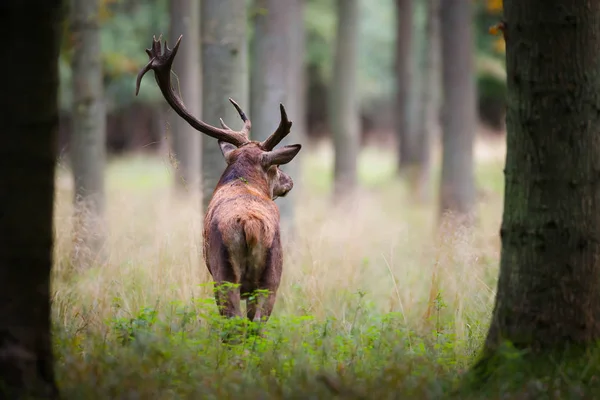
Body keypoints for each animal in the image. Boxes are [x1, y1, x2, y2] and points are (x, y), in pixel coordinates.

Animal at [137, 36, 302, 326]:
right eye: (277, 165)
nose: (289, 180)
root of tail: (250, 225)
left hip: (227, 274)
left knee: (236, 323)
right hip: (266, 279)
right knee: (254, 324)